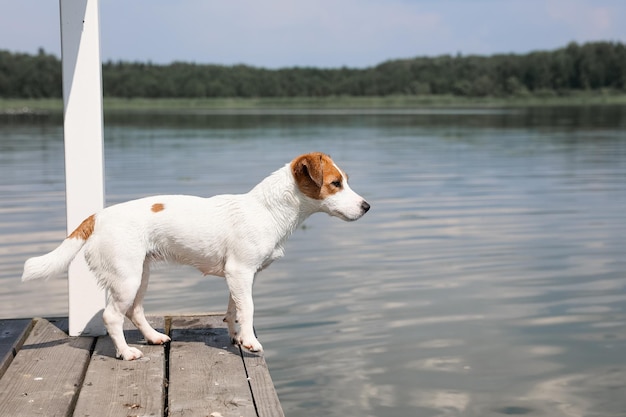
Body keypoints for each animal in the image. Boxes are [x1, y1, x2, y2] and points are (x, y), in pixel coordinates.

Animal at [22, 151, 368, 360]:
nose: (367, 206)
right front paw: (250, 342)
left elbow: (234, 310)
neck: (268, 210)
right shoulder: (241, 272)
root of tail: (96, 217)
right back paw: (126, 353)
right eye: (335, 183)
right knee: (112, 316)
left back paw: (153, 338)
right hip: (126, 279)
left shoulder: (238, 276)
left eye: (344, 181)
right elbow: (249, 308)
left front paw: (237, 337)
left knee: (135, 311)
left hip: (140, 275)